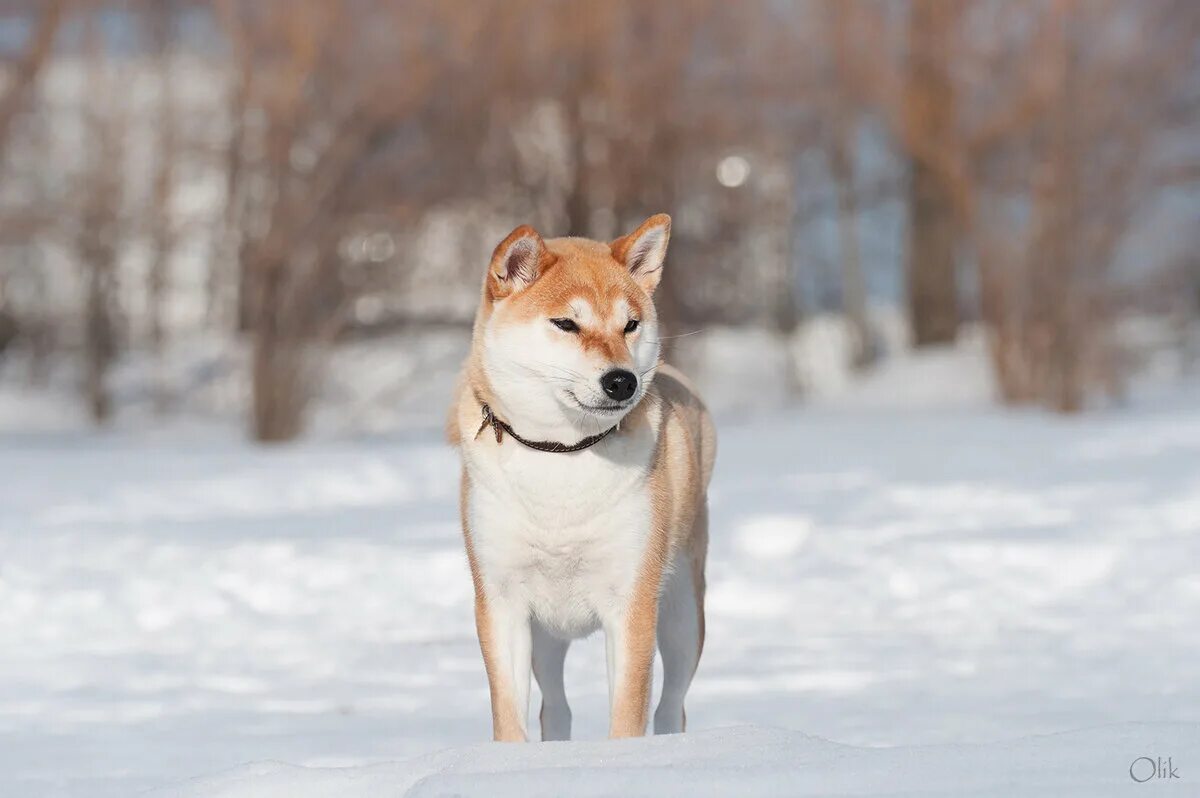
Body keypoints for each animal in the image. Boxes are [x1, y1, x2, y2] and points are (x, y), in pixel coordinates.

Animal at [448, 213, 710, 739]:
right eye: (566, 323)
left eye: (630, 324)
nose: (622, 380)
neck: (561, 453)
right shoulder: (502, 602)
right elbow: (510, 718)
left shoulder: (631, 603)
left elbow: (628, 713)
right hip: (547, 636)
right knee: (556, 706)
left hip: (681, 618)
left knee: (671, 706)